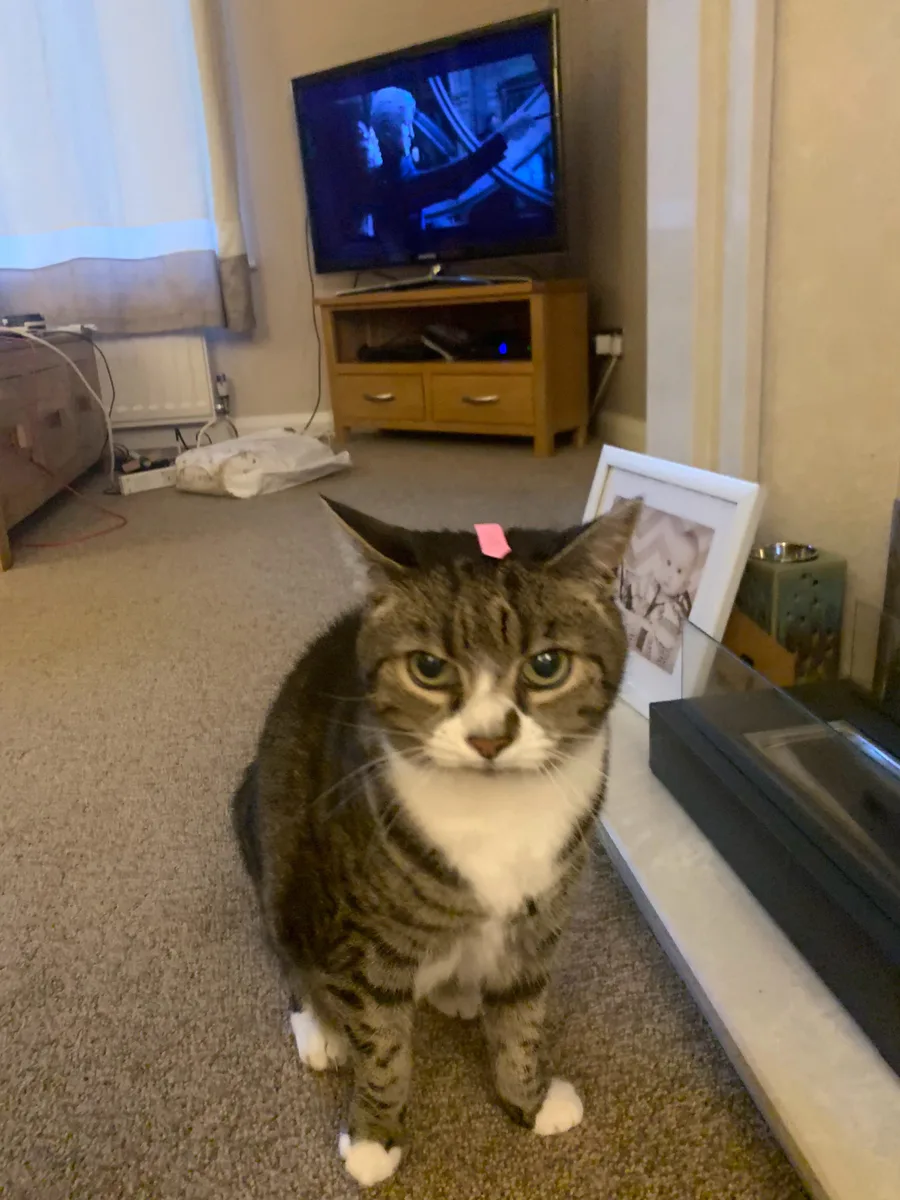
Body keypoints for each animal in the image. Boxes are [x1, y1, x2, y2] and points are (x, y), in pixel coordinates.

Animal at [231, 495, 640, 1187]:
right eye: (429, 667)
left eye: (547, 665)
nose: (489, 737)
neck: (498, 814)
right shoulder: (363, 938)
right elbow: (383, 1044)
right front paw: (374, 1136)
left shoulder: (540, 920)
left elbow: (523, 1020)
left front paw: (529, 1100)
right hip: (282, 862)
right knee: (289, 957)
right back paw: (321, 1031)